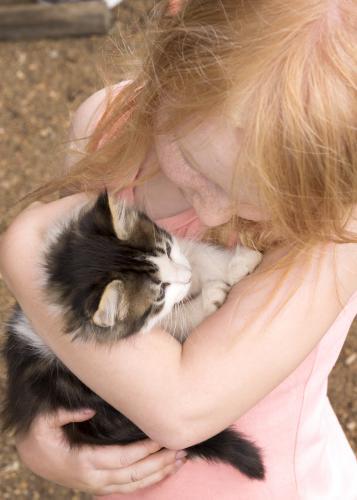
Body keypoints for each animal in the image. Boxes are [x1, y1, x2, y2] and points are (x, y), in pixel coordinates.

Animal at [1, 192, 264, 480]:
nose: (187, 277)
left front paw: (235, 264)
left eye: (168, 250)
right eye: (160, 292)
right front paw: (209, 298)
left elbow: (196, 254)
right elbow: (180, 317)